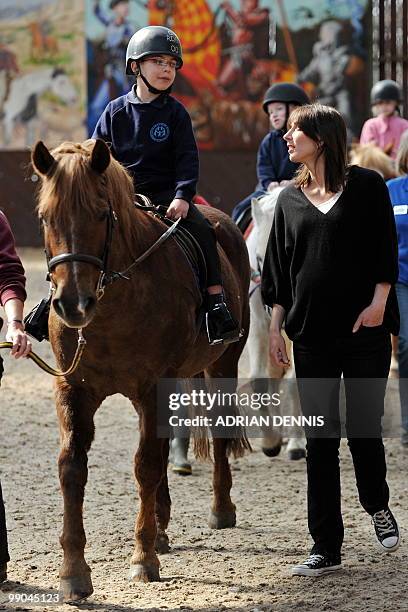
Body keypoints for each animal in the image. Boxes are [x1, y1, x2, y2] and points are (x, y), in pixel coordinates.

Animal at [31, 139, 249, 604]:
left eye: (101, 213)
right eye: (44, 217)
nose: (72, 304)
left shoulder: (153, 387)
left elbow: (146, 465)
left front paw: (143, 558)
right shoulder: (74, 389)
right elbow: (72, 468)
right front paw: (73, 574)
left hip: (223, 363)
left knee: (217, 430)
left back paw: (220, 510)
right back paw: (164, 528)